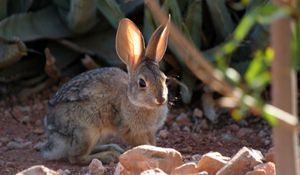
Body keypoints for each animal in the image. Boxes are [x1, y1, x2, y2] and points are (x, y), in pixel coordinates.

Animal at [39, 17, 171, 165]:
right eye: (142, 83)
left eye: (165, 79)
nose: (161, 99)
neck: (135, 102)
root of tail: (54, 135)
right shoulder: (130, 131)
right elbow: (142, 144)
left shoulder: (150, 131)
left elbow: (151, 142)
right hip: (87, 131)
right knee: (75, 157)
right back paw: (109, 156)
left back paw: (113, 148)